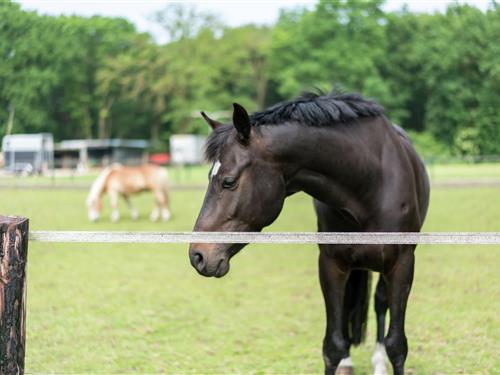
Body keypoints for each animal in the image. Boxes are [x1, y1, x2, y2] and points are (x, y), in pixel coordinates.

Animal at [189, 92, 432, 375]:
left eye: (229, 181)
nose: (198, 255)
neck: (370, 183)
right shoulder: (331, 264)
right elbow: (332, 345)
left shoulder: (402, 264)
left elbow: (397, 345)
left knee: (380, 303)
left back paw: (378, 361)